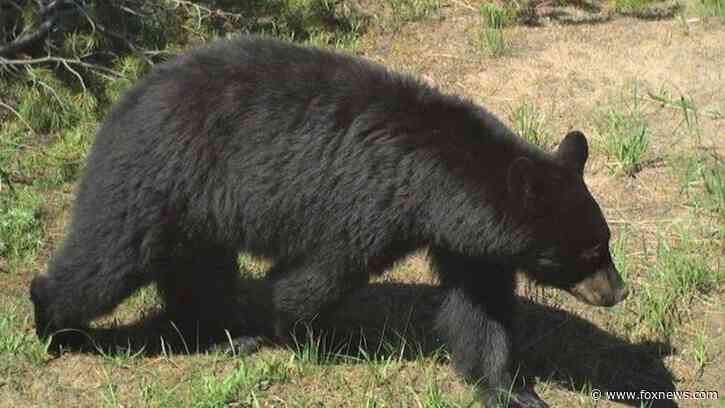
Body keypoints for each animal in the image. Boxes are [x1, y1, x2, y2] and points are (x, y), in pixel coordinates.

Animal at [30, 35, 628, 407]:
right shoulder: (365, 205)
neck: (436, 183)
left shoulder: (466, 242)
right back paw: (53, 324)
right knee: (107, 259)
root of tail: (128, 96)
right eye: (587, 252)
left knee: (196, 269)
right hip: (159, 176)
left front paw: (515, 389)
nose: (618, 291)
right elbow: (316, 277)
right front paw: (296, 330)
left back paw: (221, 332)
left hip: (198, 208)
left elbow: (481, 312)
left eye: (605, 240)